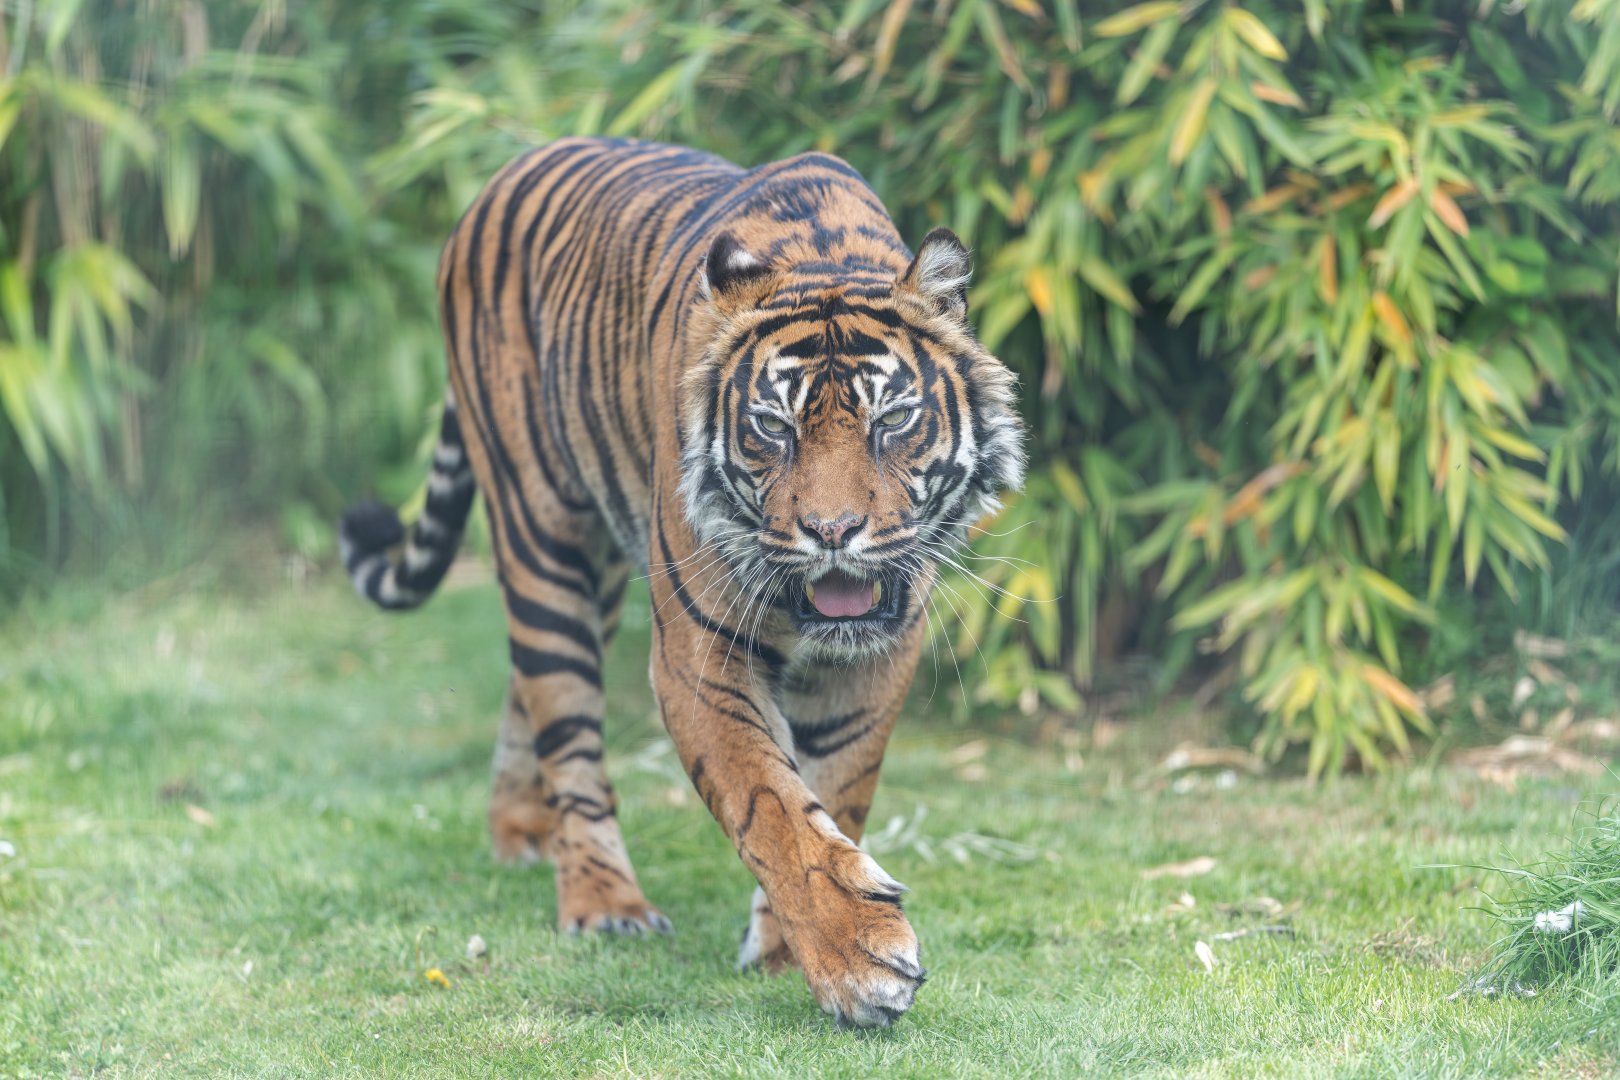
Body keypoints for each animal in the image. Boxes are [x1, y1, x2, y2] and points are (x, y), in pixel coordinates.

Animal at [339, 137, 1025, 1027]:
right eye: (773, 427)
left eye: (892, 421)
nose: (832, 532)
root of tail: (502, 176)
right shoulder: (699, 653)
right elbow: (771, 806)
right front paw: (857, 958)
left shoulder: (878, 655)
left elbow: (837, 790)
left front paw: (785, 952)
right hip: (541, 537)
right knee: (567, 726)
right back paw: (604, 903)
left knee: (526, 686)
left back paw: (521, 830)